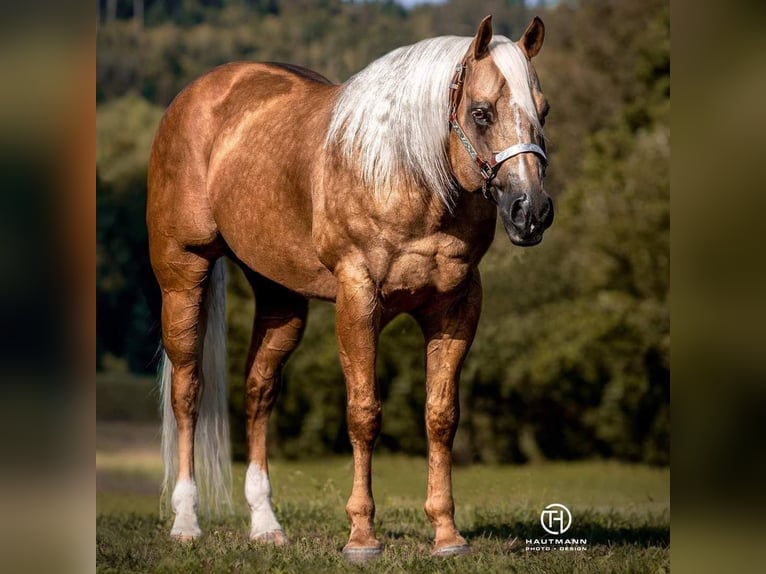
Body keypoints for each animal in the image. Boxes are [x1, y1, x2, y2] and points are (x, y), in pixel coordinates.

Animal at [147, 14, 556, 564]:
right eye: (482, 112)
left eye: (543, 111)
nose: (530, 211)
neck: (405, 171)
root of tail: (195, 97)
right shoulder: (359, 300)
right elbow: (364, 414)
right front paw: (362, 537)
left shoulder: (456, 308)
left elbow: (441, 416)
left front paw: (447, 535)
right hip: (183, 275)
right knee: (188, 392)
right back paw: (186, 522)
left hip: (280, 298)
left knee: (258, 394)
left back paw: (266, 525)